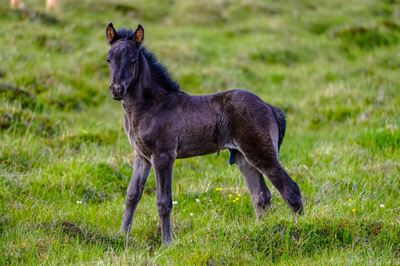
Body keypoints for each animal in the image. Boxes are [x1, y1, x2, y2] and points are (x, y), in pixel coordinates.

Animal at [104, 23, 302, 244]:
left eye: (133, 60)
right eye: (109, 59)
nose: (117, 90)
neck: (151, 105)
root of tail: (269, 107)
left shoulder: (164, 155)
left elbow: (163, 201)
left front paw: (167, 243)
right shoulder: (142, 156)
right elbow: (132, 195)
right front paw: (122, 236)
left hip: (261, 152)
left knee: (291, 190)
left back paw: (299, 230)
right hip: (243, 157)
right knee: (261, 197)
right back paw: (260, 232)